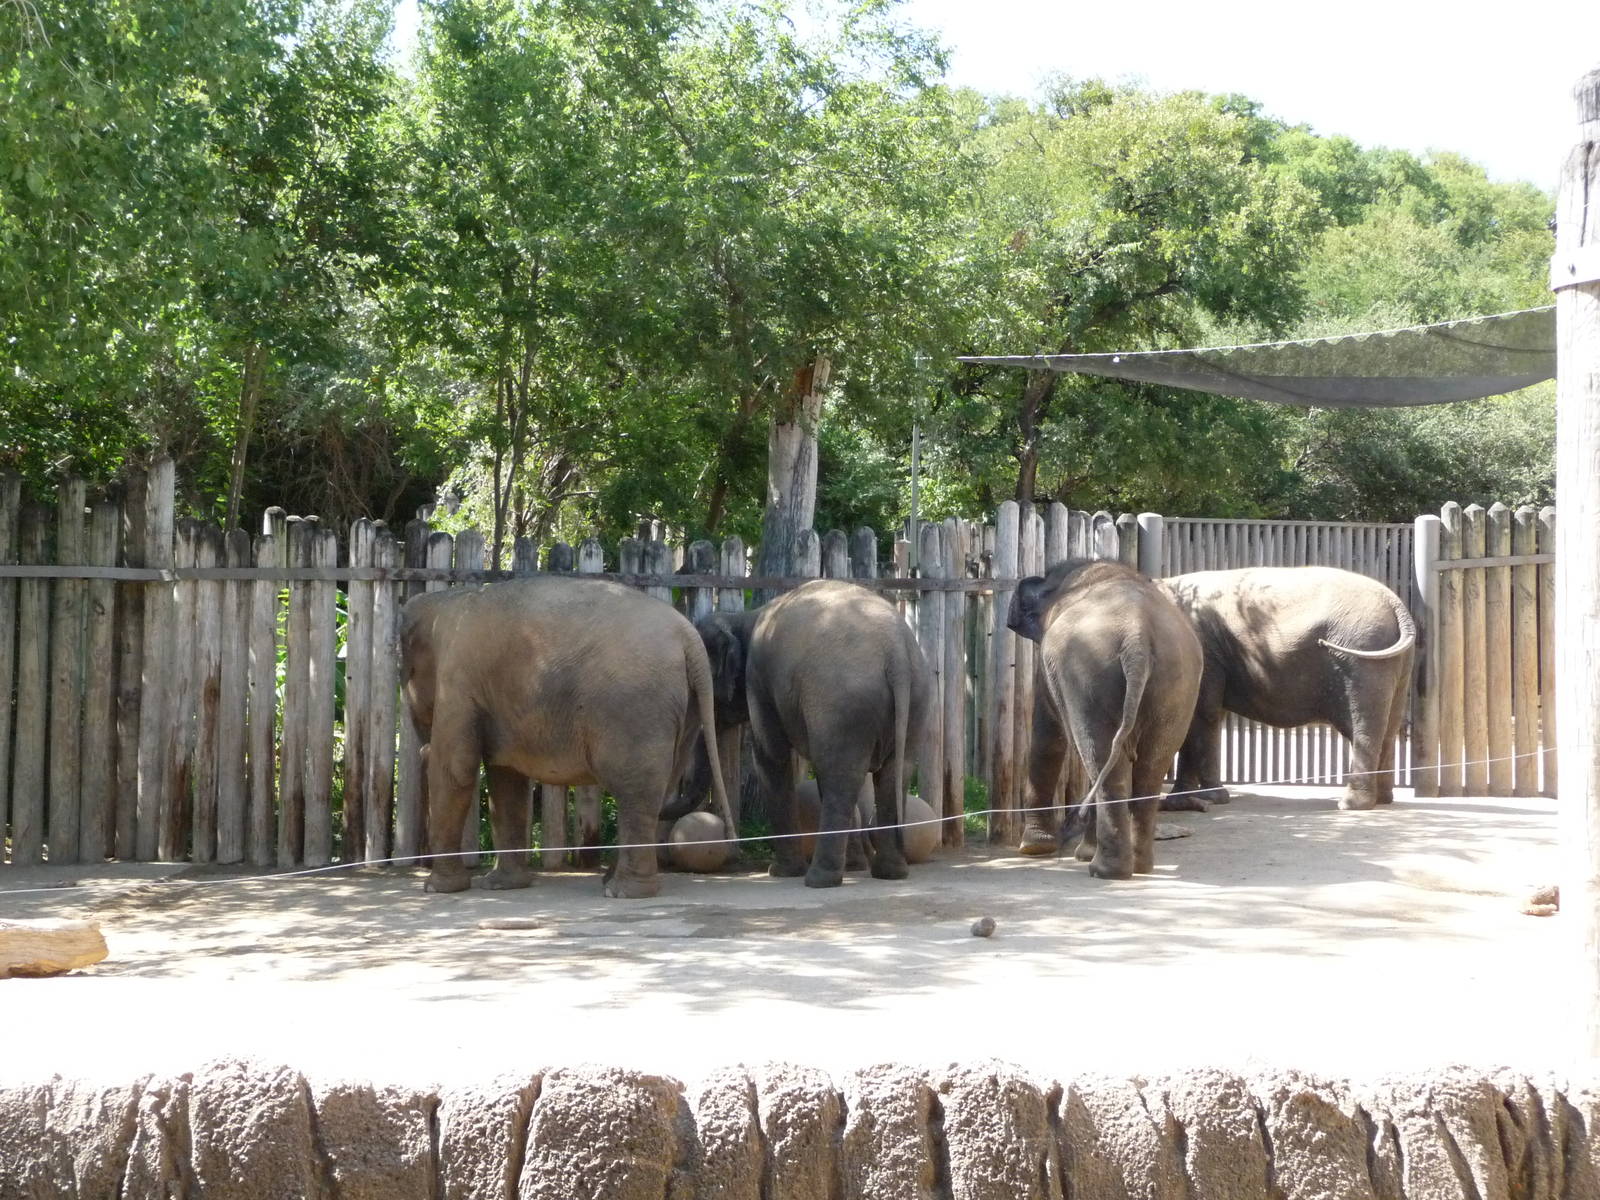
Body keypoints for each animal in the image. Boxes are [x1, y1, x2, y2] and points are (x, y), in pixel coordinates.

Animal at [400, 576, 735, 897]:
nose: (421, 748)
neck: (445, 601)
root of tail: (689, 638)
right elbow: (506, 779)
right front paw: (502, 885)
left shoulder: (457, 681)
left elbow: (456, 770)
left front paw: (437, 888)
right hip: (684, 711)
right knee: (658, 790)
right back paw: (613, 882)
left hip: (636, 709)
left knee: (634, 789)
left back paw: (623, 892)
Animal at [694, 578, 931, 888]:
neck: (745, 617)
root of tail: (897, 655)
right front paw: (854, 866)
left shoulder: (758, 681)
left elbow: (771, 757)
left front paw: (780, 872)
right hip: (915, 702)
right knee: (890, 776)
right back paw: (890, 873)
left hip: (841, 704)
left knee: (839, 779)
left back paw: (819, 879)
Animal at [1008, 559, 1203, 880]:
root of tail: (1137, 636)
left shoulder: (1053, 675)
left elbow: (1048, 738)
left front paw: (1033, 849)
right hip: (1176, 684)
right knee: (1150, 765)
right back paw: (1139, 867)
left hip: (1089, 673)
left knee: (1101, 761)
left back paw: (1102, 869)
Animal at [1159, 566, 1415, 812]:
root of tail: (1397, 605)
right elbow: (1198, 716)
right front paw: (1179, 800)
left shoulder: (1206, 653)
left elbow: (1205, 714)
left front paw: (1212, 798)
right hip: (1394, 663)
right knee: (1390, 728)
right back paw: (1382, 800)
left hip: (1362, 656)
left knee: (1365, 727)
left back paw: (1351, 804)